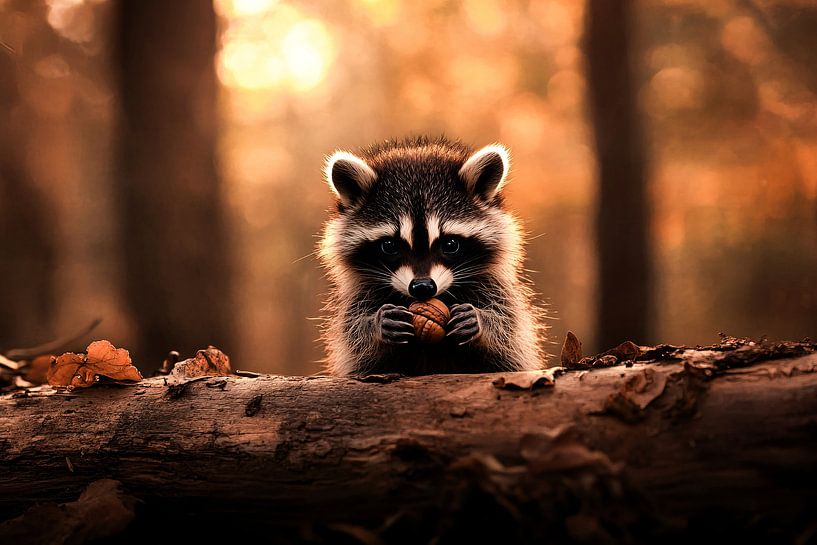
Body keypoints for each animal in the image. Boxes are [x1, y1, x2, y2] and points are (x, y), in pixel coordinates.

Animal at [318, 136, 546, 376]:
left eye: (451, 244)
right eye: (389, 246)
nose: (422, 287)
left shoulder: (494, 288)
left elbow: (509, 329)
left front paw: (483, 322)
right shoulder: (360, 295)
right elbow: (353, 334)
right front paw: (375, 325)